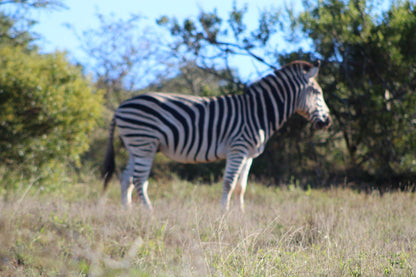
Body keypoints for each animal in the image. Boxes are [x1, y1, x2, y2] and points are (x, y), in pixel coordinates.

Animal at [102, 60, 330, 210]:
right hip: (144, 143)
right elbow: (228, 183)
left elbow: (241, 187)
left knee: (126, 178)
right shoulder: (237, 149)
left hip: (136, 146)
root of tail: (121, 106)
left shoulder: (248, 155)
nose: (328, 121)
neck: (258, 112)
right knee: (139, 180)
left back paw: (129, 212)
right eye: (317, 93)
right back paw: (150, 213)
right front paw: (224, 214)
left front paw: (241, 214)